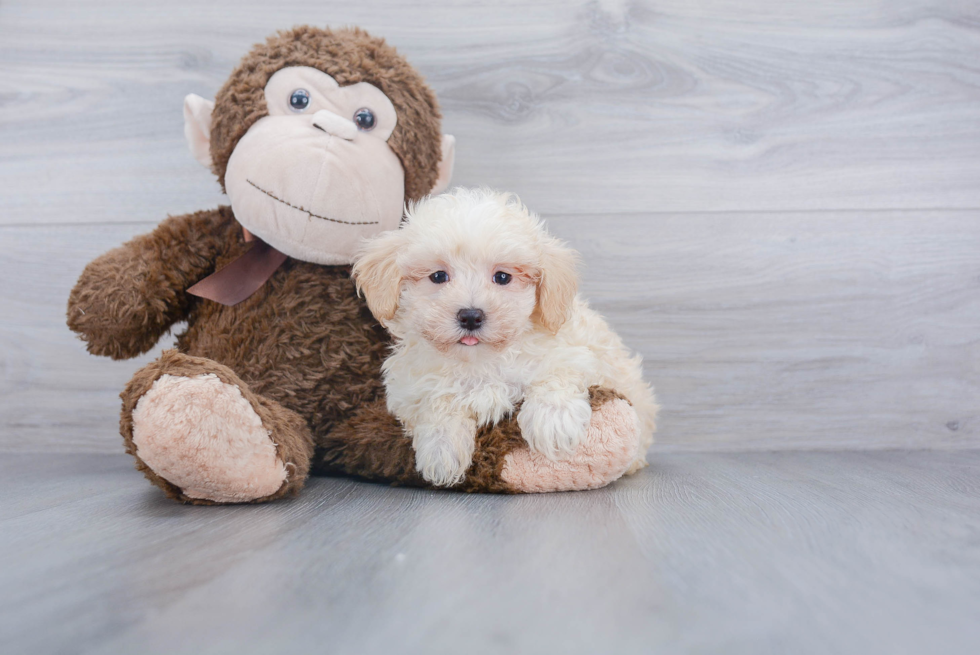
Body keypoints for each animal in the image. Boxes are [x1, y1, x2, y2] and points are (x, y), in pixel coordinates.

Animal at [352, 187, 660, 484]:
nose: (471, 316)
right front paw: (440, 452)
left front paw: (554, 423)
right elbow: (436, 405)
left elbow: (556, 375)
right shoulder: (412, 389)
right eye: (438, 276)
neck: (481, 361)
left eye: (502, 277)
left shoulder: (573, 352)